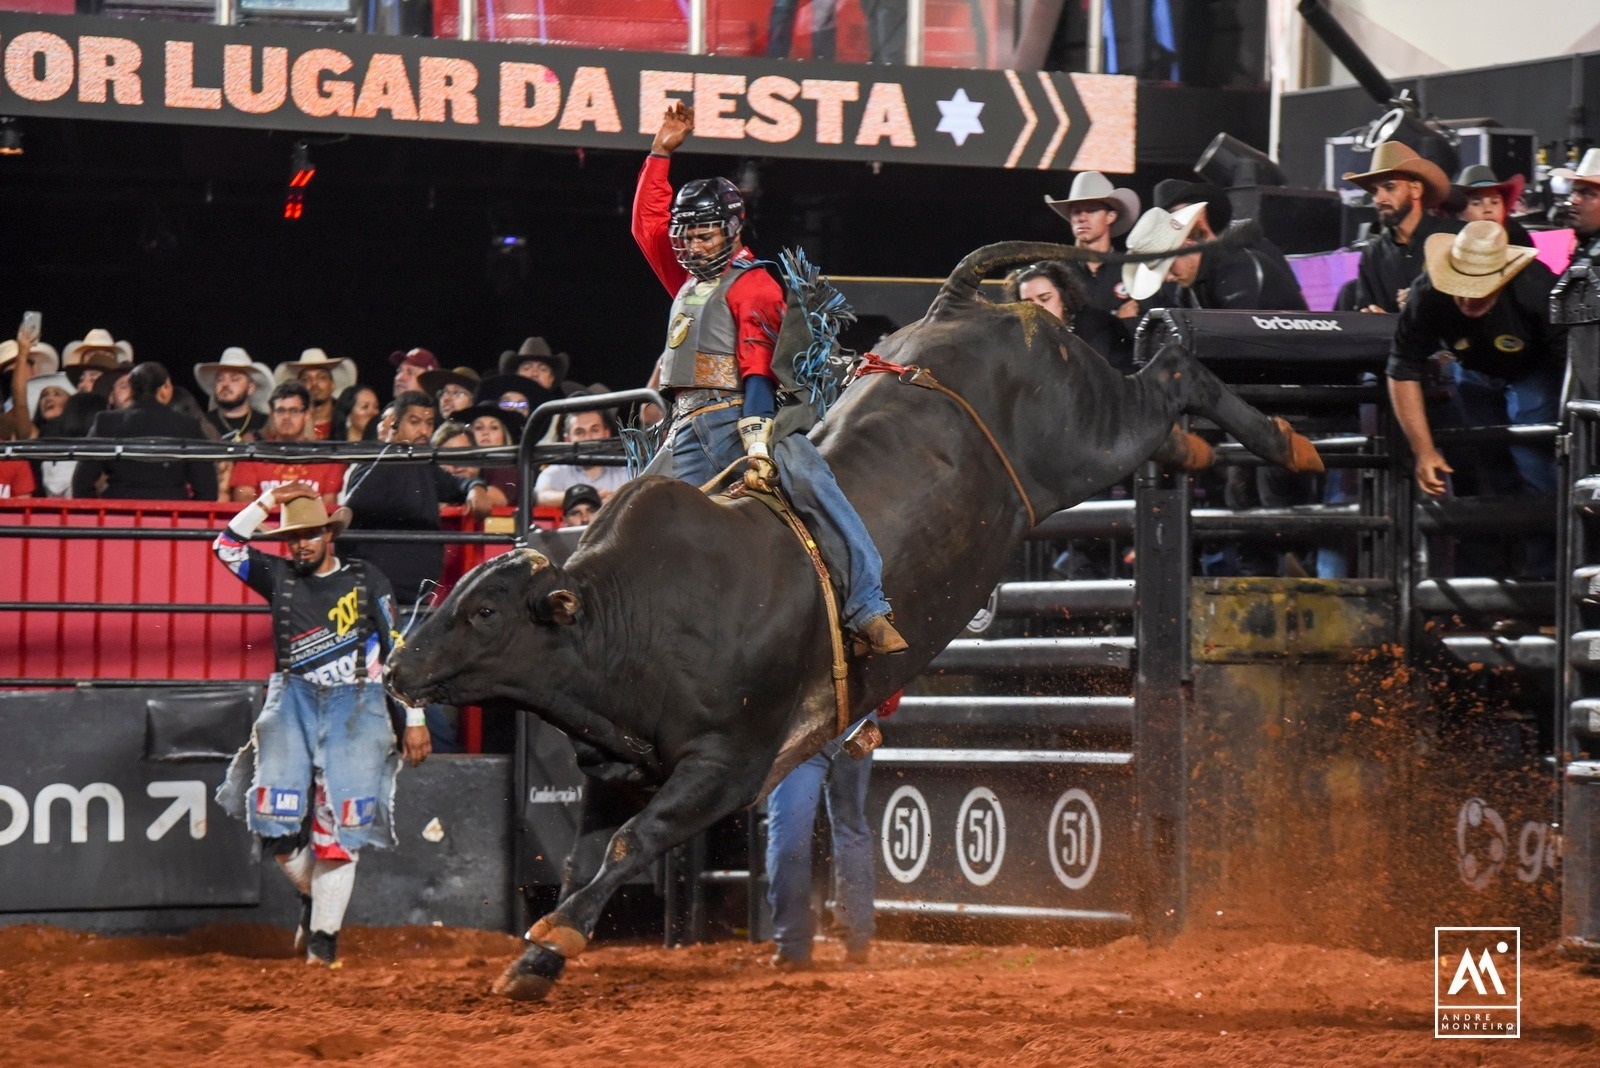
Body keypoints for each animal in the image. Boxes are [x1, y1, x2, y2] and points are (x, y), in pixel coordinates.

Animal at [380, 238, 1318, 997]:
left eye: (485, 609)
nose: (395, 668)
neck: (629, 618)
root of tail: (960, 305)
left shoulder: (728, 766)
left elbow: (633, 843)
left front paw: (552, 944)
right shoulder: (615, 770)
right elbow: (589, 852)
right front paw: (539, 955)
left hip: (1089, 432)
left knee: (1173, 378)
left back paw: (1288, 442)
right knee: (1167, 410)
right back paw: (1206, 449)